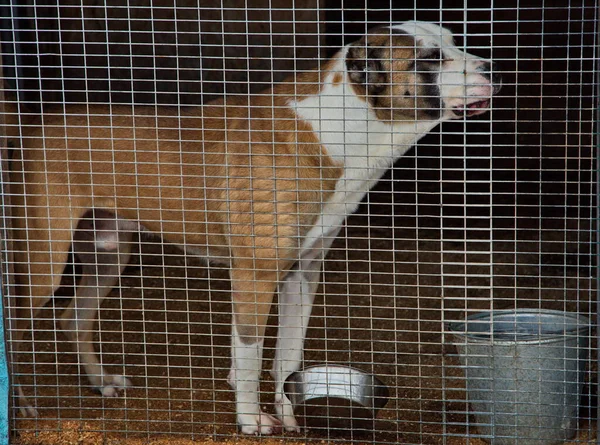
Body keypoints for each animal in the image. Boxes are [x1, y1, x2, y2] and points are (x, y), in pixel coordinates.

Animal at [8, 20, 502, 434]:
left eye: (454, 41)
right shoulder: (254, 276)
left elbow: (286, 360)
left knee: (73, 318)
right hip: (42, 266)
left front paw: (289, 415)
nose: (493, 67)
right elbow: (249, 358)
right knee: (14, 329)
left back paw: (99, 381)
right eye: (431, 58)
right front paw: (250, 421)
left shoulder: (301, 276)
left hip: (109, 253)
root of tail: (29, 127)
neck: (344, 126)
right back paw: (20, 406)